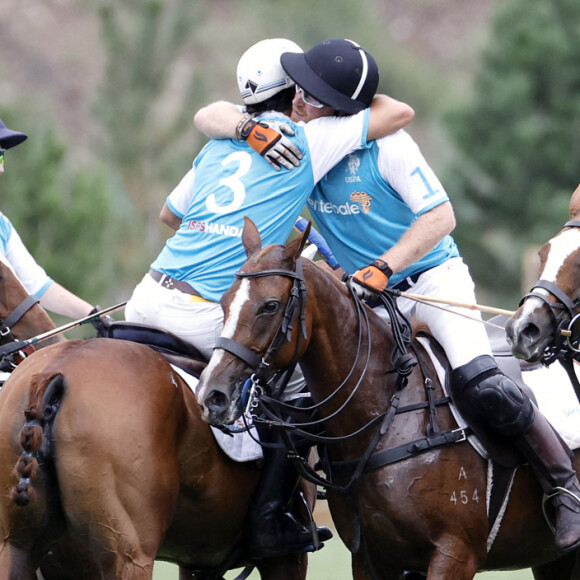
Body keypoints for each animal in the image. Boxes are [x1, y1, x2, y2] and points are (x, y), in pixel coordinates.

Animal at [0, 262, 308, 580]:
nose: (43, 334)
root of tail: (56, 371)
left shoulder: (195, 560)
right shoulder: (285, 558)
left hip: (19, 546)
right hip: (130, 554)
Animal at [196, 219, 580, 580]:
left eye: (270, 305)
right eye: (224, 303)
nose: (212, 394)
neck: (386, 416)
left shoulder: (456, 553)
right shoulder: (371, 560)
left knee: (491, 389)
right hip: (553, 560)